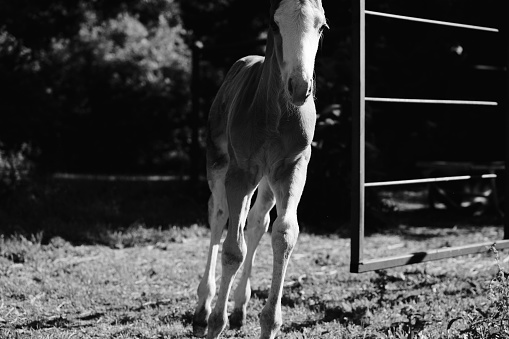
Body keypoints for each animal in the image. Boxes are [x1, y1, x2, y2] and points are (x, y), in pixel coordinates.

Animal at [192, 1, 328, 338]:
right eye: (274, 23)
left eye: (321, 26)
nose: (300, 87)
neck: (277, 112)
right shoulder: (240, 172)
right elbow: (232, 249)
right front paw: (215, 322)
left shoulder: (293, 168)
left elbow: (284, 234)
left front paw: (268, 322)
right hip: (219, 161)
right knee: (218, 215)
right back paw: (202, 310)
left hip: (266, 180)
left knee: (257, 222)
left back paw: (240, 308)